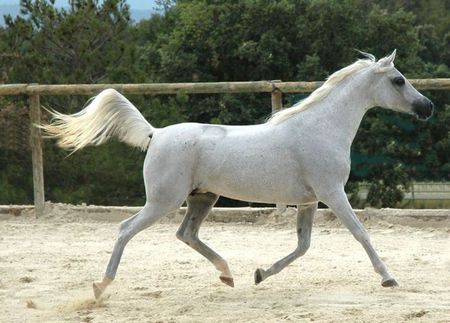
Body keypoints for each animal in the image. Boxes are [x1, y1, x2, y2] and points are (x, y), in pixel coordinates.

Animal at [42, 50, 432, 298]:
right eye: (398, 80)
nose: (427, 107)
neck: (322, 128)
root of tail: (156, 134)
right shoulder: (332, 193)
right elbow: (361, 234)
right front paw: (389, 279)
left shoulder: (309, 201)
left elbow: (303, 246)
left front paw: (260, 274)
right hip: (163, 200)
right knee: (126, 230)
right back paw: (100, 287)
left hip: (202, 197)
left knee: (187, 234)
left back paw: (227, 274)